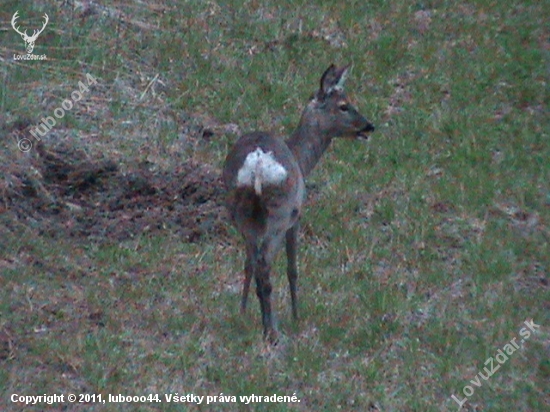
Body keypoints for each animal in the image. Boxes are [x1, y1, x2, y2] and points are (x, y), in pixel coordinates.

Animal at [223, 63, 376, 342]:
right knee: (265, 266)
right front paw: (296, 316)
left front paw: (243, 313)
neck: (302, 160)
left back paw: (255, 319)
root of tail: (258, 163)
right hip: (280, 214)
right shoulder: (297, 215)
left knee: (252, 264)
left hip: (241, 212)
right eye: (344, 105)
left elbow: (248, 265)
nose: (369, 126)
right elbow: (292, 268)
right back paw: (271, 330)